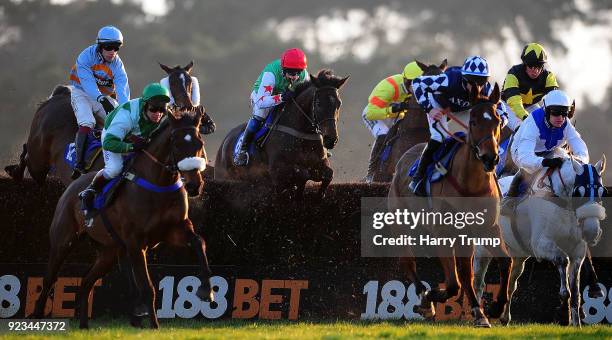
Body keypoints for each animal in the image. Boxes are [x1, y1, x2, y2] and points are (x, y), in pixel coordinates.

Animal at [31, 110, 213, 328]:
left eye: (200, 142)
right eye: (176, 144)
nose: (194, 185)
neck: (158, 183)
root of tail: (73, 185)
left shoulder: (175, 229)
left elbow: (199, 242)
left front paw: (206, 290)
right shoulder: (136, 242)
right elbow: (147, 287)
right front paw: (153, 326)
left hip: (109, 251)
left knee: (86, 282)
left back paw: (83, 325)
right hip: (63, 240)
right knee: (49, 279)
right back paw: (37, 316)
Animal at [215, 70, 350, 201]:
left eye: (339, 103)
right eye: (318, 103)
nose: (331, 139)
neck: (302, 134)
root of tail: (224, 144)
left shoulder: (320, 163)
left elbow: (329, 174)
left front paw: (319, 195)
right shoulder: (278, 171)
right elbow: (302, 174)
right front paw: (297, 191)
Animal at [388, 81, 512, 326]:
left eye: (497, 121)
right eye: (473, 121)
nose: (490, 158)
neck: (470, 184)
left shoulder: (488, 227)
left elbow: (504, 262)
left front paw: (494, 308)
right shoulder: (444, 231)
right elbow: (454, 283)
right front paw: (430, 297)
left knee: (465, 272)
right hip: (401, 223)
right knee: (408, 262)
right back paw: (425, 301)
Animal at [476, 152, 604, 326]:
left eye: (602, 191)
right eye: (579, 192)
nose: (592, 231)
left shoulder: (577, 250)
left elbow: (576, 292)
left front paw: (576, 323)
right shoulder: (541, 244)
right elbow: (562, 261)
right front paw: (563, 312)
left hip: (518, 255)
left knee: (511, 284)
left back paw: (504, 316)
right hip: (483, 249)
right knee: (478, 283)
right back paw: (480, 317)